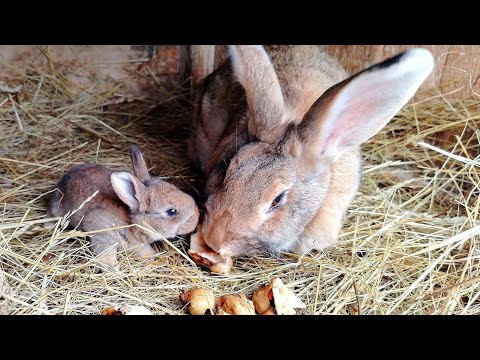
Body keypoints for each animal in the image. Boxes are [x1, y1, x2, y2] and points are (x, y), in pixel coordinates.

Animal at [46, 143, 199, 268]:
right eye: (171, 211)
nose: (196, 219)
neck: (131, 222)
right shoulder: (103, 237)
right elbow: (106, 254)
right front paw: (113, 268)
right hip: (58, 208)